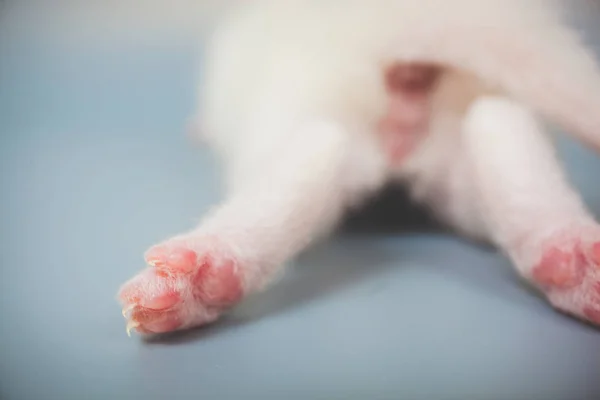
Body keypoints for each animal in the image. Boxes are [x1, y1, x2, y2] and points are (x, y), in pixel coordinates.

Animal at [116, 0, 600, 334]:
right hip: (466, 161)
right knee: (498, 122)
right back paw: (572, 256)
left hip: (295, 114)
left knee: (308, 151)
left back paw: (202, 265)